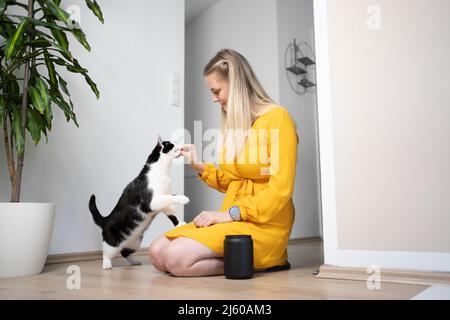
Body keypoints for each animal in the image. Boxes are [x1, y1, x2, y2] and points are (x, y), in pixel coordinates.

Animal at [89, 136, 188, 270]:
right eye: (172, 146)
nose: (181, 147)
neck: (162, 171)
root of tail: (105, 220)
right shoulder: (154, 201)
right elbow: (172, 196)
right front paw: (184, 198)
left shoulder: (163, 202)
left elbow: (172, 213)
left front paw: (180, 224)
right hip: (113, 242)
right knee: (107, 252)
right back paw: (107, 265)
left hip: (136, 242)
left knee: (125, 252)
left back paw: (134, 261)